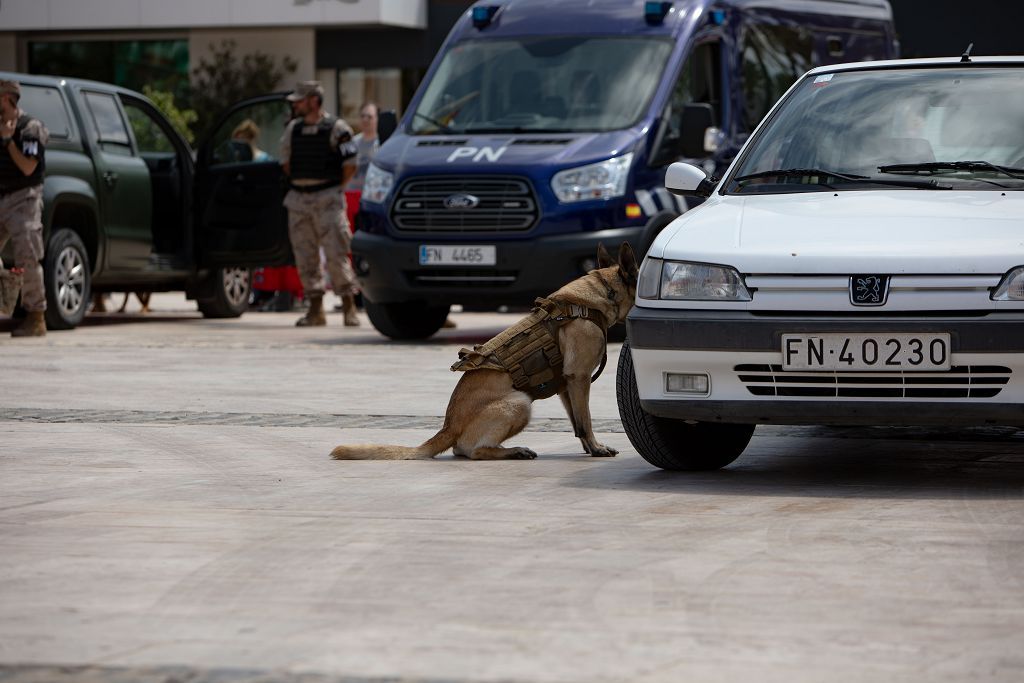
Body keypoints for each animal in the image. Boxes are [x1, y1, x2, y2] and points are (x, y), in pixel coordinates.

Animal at [333, 242, 638, 462]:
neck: (602, 293)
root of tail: (449, 426)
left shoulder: (567, 385)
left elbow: (577, 422)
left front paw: (588, 446)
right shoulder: (580, 378)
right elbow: (586, 421)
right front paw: (596, 448)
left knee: (461, 450)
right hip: (519, 403)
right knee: (473, 451)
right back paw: (513, 451)